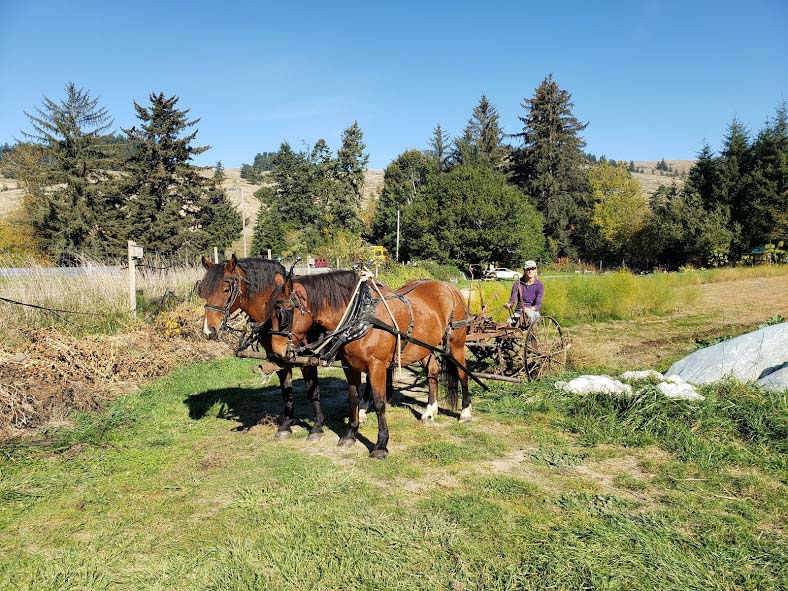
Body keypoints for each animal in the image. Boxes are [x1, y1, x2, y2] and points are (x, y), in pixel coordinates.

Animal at [199, 254, 330, 440]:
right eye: (204, 290)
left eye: (226, 289)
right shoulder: (278, 357)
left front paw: (317, 426)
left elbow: (312, 390)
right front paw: (286, 425)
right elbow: (286, 390)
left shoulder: (307, 358)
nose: (208, 330)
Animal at [268, 272, 470, 458]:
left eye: (284, 314)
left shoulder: (377, 366)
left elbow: (380, 403)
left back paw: (465, 413)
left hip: (456, 344)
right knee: (433, 371)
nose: (276, 352)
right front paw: (350, 435)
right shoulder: (351, 367)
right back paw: (430, 411)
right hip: (423, 347)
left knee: (463, 374)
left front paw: (381, 445)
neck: (360, 316)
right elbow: (354, 399)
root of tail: (448, 286)